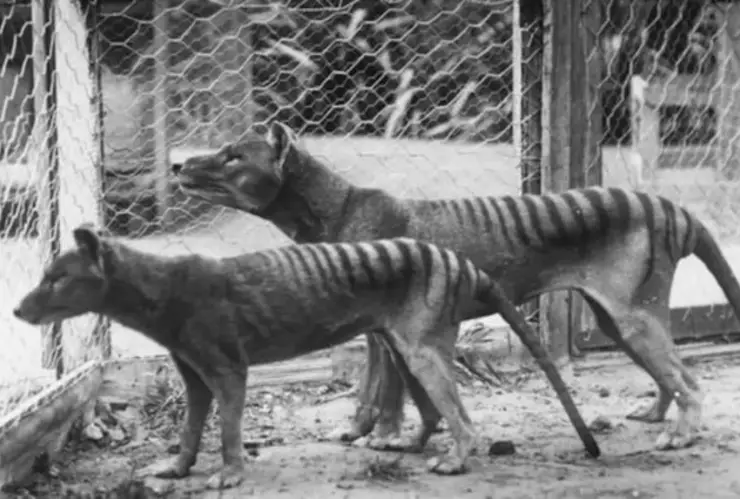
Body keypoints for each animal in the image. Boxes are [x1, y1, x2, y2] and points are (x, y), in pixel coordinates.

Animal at [12, 224, 599, 490]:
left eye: (57, 277)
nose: (17, 307)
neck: (161, 290)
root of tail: (461, 262)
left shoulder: (227, 367)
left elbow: (228, 429)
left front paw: (230, 474)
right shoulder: (193, 374)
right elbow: (190, 428)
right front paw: (177, 468)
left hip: (421, 348)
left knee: (463, 418)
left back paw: (456, 459)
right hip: (404, 346)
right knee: (433, 410)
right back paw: (409, 444)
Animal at [172, 121, 740, 453]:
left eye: (232, 156)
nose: (177, 163)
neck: (338, 207)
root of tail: (672, 208)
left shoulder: (385, 331)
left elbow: (385, 393)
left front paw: (382, 437)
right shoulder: (378, 330)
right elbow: (374, 391)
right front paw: (363, 432)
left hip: (632, 317)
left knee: (690, 382)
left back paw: (681, 433)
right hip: (615, 319)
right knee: (669, 376)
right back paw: (657, 413)